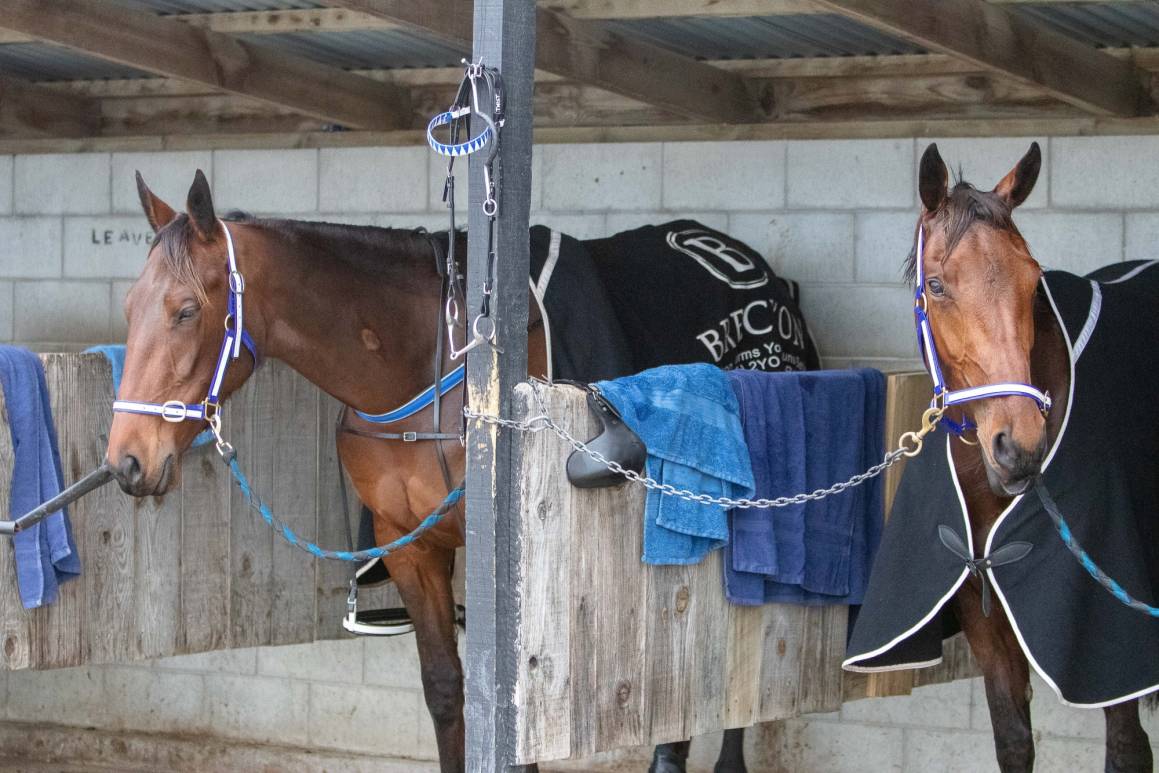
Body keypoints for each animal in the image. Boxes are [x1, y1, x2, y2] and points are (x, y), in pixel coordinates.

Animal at [104, 172, 746, 769]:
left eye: (186, 311)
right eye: (130, 309)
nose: (127, 461)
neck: (427, 373)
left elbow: (512, 704)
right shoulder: (409, 544)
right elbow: (445, 687)